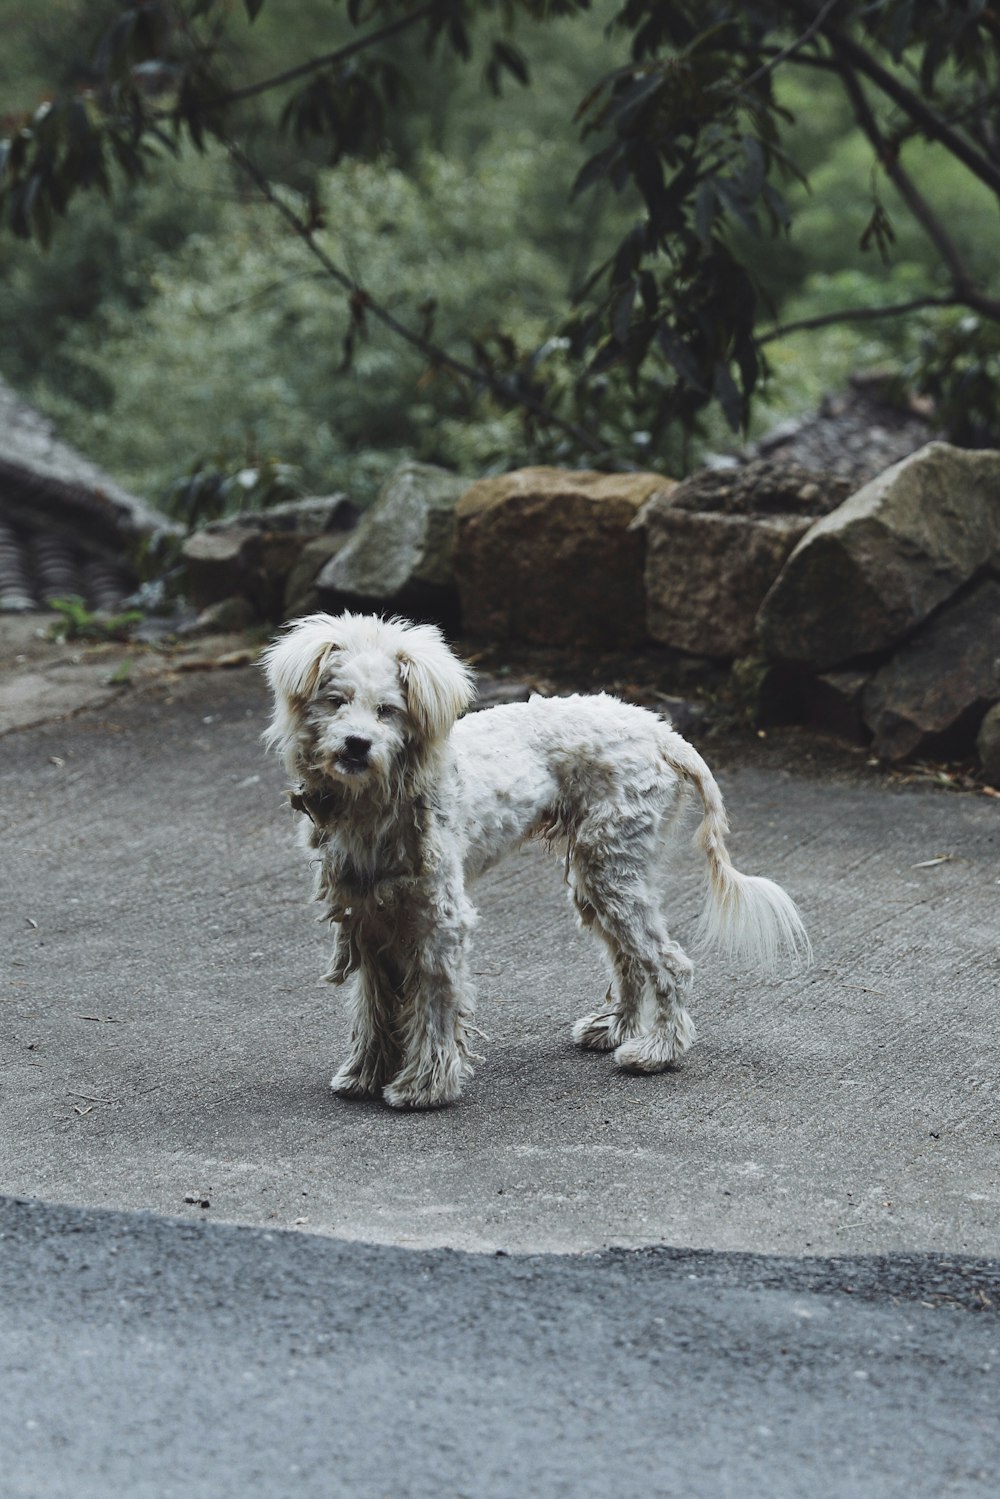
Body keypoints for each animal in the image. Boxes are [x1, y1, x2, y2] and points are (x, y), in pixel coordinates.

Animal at [262, 608, 809, 1115]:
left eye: (387, 711)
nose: (357, 745)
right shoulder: (369, 918)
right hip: (596, 876)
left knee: (668, 963)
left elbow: (434, 1002)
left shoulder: (440, 920)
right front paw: (365, 1074)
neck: (381, 797)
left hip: (612, 871)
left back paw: (657, 1052)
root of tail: (660, 732)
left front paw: (424, 1087)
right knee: (628, 960)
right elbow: (375, 1007)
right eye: (335, 702)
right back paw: (614, 1028)